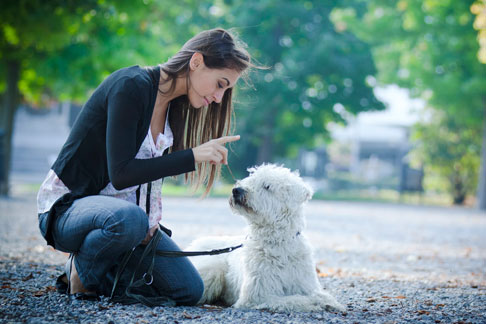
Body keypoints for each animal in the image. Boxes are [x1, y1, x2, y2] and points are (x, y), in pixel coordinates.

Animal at [184, 165, 344, 312]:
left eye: (267, 186)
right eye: (251, 178)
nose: (236, 190)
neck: (278, 241)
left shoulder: (304, 283)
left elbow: (319, 294)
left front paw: (330, 302)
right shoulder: (259, 294)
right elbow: (294, 299)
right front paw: (313, 303)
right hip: (213, 271)